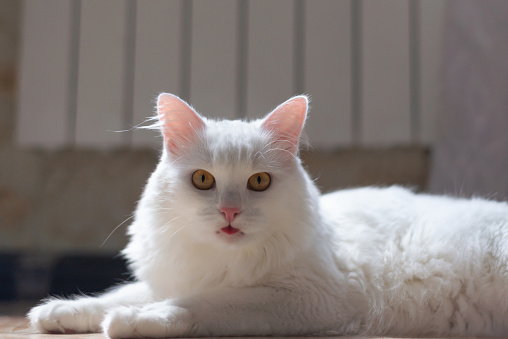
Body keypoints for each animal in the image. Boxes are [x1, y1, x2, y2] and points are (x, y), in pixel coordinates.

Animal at [28, 94, 508, 338]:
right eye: (203, 180)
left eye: (259, 182)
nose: (230, 211)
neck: (222, 262)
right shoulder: (174, 276)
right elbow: (117, 295)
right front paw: (59, 313)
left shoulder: (309, 297)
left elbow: (204, 305)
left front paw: (137, 322)